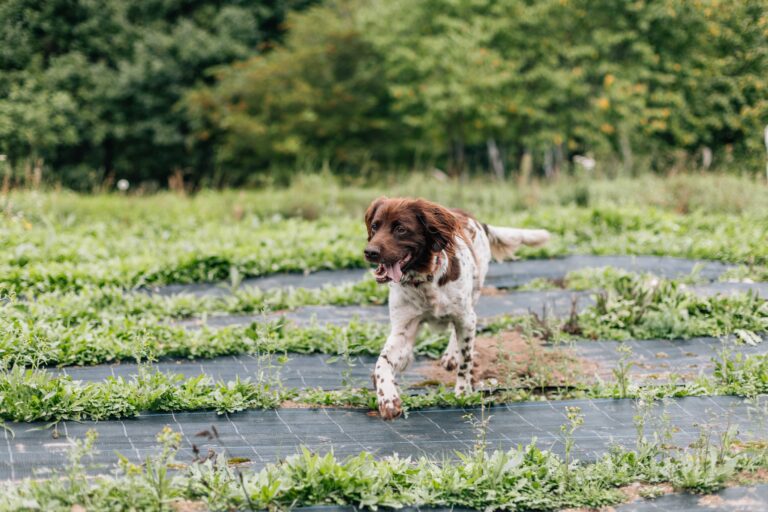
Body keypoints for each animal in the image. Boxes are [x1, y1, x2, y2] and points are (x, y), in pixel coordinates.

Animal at [364, 198, 548, 418]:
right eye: (375, 226)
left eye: (401, 229)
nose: (370, 252)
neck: (425, 280)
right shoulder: (403, 329)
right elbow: (382, 363)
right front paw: (388, 399)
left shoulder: (467, 318)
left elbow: (465, 359)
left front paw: (462, 392)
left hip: (473, 296)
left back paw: (451, 356)